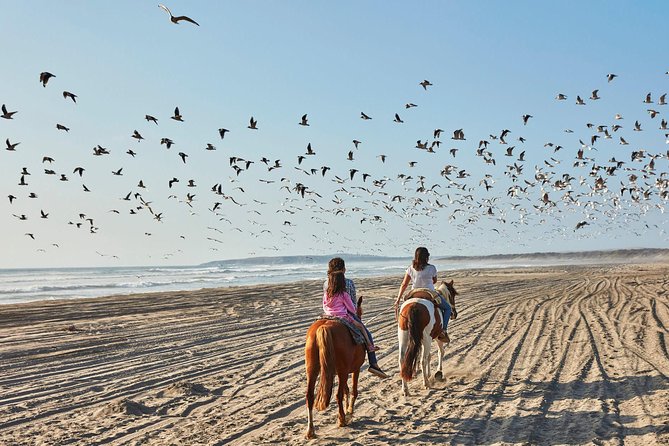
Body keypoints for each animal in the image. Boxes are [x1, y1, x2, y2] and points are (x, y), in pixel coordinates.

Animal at [304, 296, 366, 440]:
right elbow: (352, 391)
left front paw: (348, 408)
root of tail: (325, 325)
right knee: (338, 395)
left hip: (312, 370)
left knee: (309, 396)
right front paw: (350, 410)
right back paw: (342, 420)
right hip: (343, 372)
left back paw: (310, 431)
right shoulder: (355, 369)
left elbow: (346, 390)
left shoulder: (339, 372)